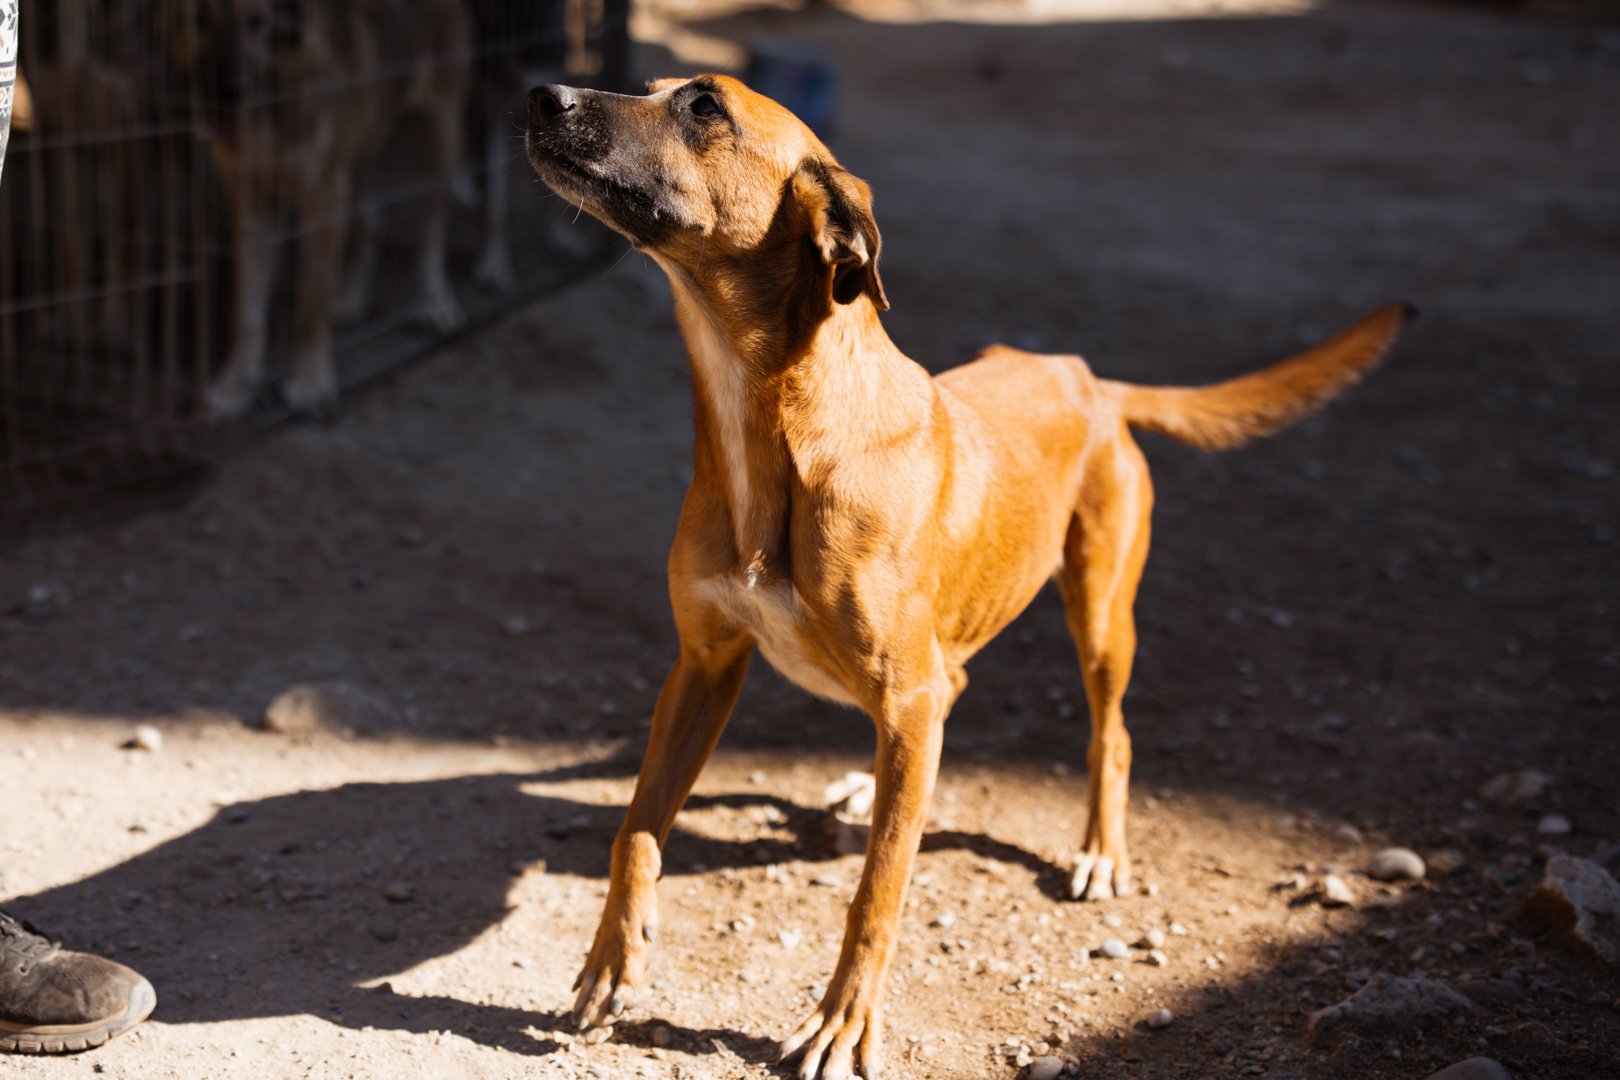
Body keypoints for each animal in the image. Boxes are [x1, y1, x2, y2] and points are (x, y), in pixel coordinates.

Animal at [166, 0, 472, 418]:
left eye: (256, 22)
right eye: (198, 19)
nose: (226, 92)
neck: (276, 97)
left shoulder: (322, 198)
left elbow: (310, 303)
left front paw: (311, 382)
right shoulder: (253, 206)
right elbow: (248, 314)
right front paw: (235, 386)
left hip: (440, 138)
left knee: (432, 227)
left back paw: (434, 302)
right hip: (359, 159)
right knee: (368, 224)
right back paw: (352, 297)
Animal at [525, 74, 1409, 1080]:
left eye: (704, 106)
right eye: (651, 90)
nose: (542, 94)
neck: (778, 430)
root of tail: (1086, 376)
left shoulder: (896, 699)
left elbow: (878, 891)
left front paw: (842, 1024)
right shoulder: (702, 664)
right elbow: (635, 827)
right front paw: (611, 960)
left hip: (1099, 615)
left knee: (1109, 733)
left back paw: (1097, 849)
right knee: (952, 693)